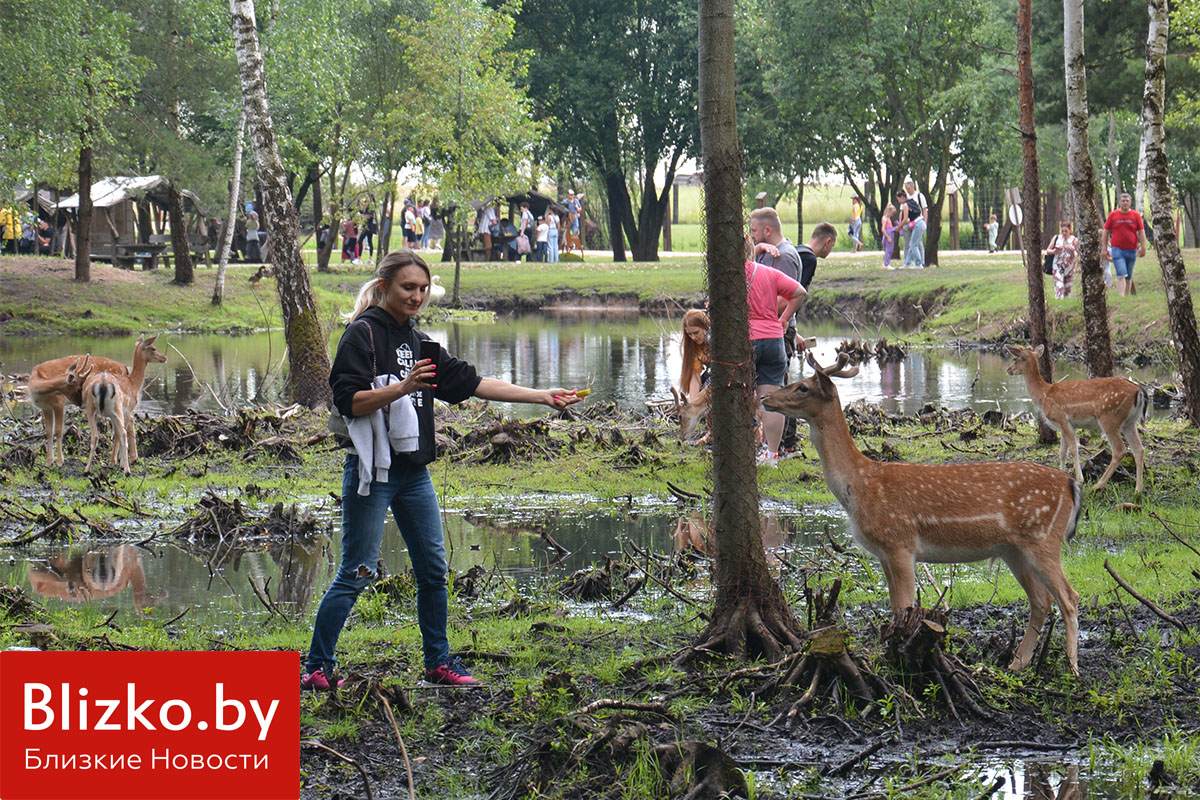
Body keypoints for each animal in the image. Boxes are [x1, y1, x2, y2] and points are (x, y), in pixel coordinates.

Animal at [27, 335, 169, 465]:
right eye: (153, 348)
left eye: (81, 387)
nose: (165, 358)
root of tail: (124, 367)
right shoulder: (45, 407)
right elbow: (48, 432)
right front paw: (48, 462)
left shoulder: (59, 403)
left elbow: (58, 430)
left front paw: (59, 462)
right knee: (128, 422)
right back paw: (128, 458)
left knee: (126, 423)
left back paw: (126, 459)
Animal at [768, 355, 1089, 676]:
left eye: (802, 387)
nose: (765, 398)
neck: (859, 485)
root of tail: (1070, 485)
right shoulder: (883, 553)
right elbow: (895, 607)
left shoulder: (900, 542)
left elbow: (904, 607)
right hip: (1014, 549)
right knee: (1042, 599)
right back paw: (1017, 663)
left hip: (1043, 537)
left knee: (1069, 597)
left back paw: (1072, 666)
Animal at [1008, 345, 1147, 494]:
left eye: (1015, 359)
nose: (1008, 370)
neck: (1044, 395)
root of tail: (1139, 391)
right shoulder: (1062, 425)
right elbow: (1062, 452)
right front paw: (1060, 473)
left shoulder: (1063, 419)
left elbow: (1074, 449)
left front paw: (1080, 478)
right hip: (1130, 422)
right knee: (1139, 449)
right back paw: (1138, 490)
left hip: (1109, 418)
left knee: (1120, 450)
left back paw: (1098, 485)